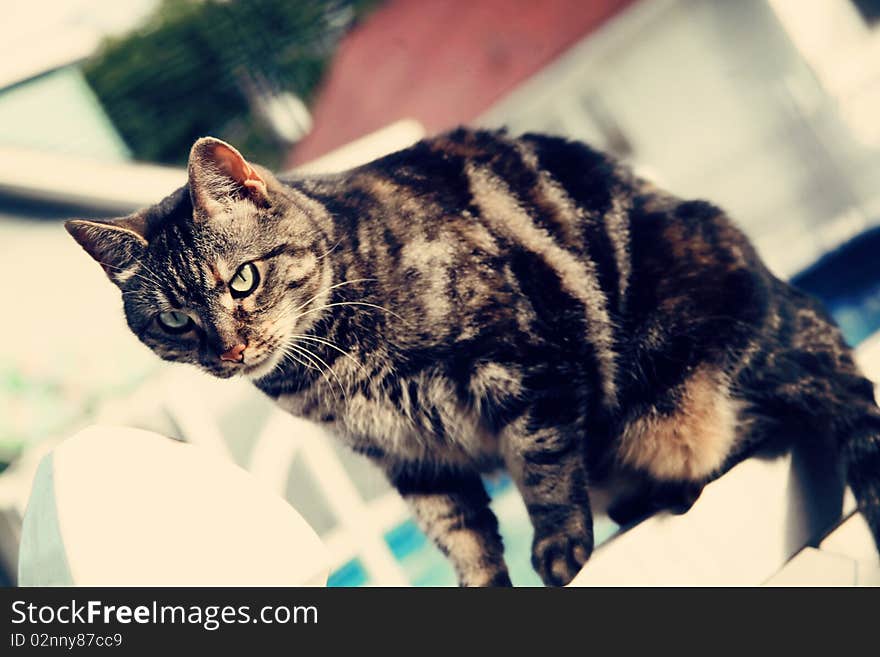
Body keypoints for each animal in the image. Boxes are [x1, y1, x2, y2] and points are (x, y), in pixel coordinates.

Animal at [67, 128, 880, 584]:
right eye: (175, 320)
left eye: (242, 279)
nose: (230, 350)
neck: (330, 369)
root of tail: (794, 314)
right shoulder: (408, 456)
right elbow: (458, 533)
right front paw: (482, 580)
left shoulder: (522, 368)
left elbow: (543, 469)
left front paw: (559, 548)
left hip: (671, 399)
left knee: (755, 435)